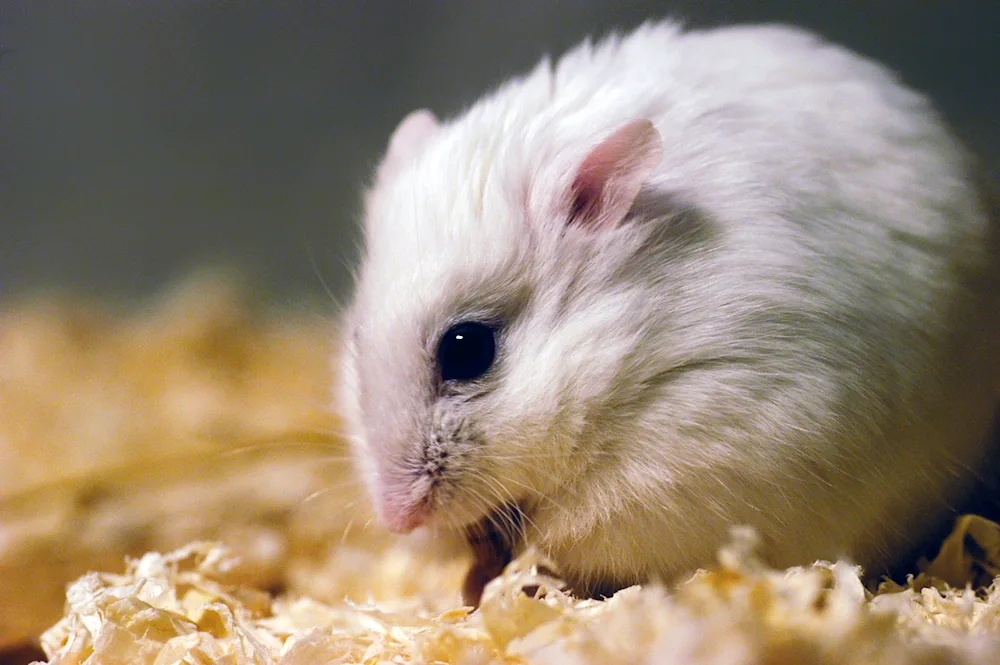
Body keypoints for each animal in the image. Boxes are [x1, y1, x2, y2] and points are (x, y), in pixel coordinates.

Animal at [338, 23, 1000, 596]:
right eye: (355, 340)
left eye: (467, 348)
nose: (396, 519)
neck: (633, 338)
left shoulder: (698, 452)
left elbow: (569, 532)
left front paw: (520, 571)